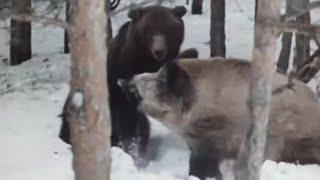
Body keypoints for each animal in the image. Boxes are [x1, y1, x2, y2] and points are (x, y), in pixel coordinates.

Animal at [57, 5, 198, 163]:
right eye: (149, 31)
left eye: (167, 29)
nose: (159, 51)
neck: (147, 63)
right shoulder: (122, 76)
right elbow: (130, 121)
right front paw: (134, 152)